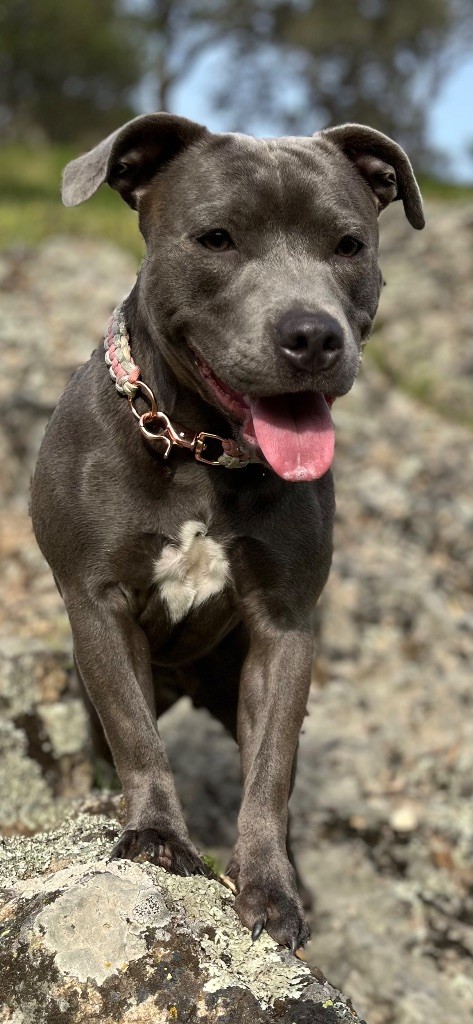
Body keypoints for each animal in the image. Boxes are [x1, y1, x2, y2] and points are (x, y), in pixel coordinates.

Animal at [30, 113, 424, 952]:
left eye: (348, 244)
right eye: (216, 238)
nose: (312, 335)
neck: (198, 444)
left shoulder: (283, 628)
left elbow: (269, 771)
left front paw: (270, 885)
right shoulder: (97, 603)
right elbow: (136, 736)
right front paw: (156, 837)